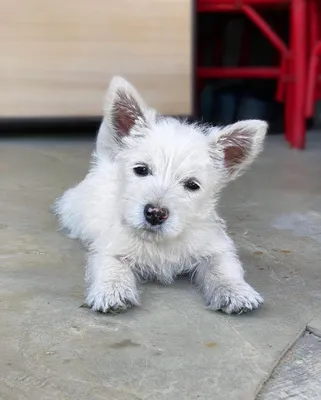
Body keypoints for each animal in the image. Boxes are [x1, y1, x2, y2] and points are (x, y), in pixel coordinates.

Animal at [53, 76, 268, 314]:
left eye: (192, 185)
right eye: (141, 169)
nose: (155, 213)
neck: (160, 242)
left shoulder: (215, 247)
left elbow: (223, 267)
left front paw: (236, 291)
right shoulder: (110, 248)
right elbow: (112, 266)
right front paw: (112, 291)